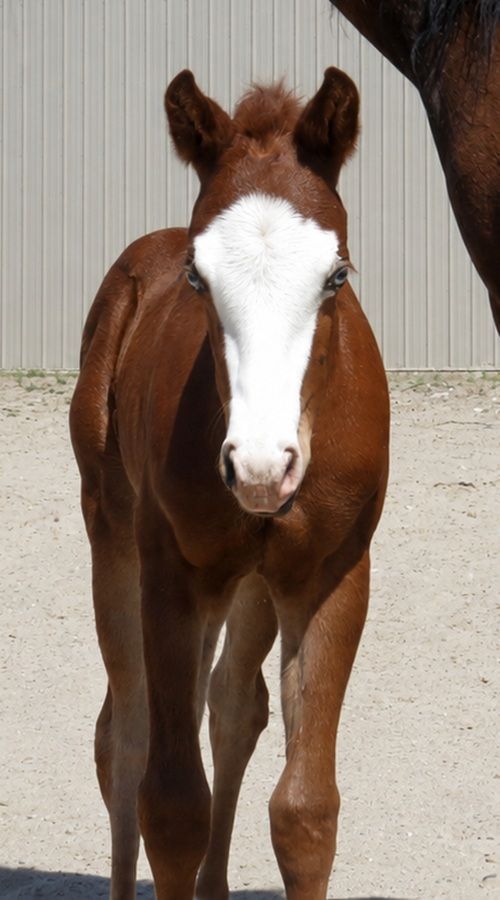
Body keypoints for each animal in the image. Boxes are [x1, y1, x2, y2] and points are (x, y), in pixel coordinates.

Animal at [70, 67, 389, 900]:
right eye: (197, 276)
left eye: (336, 275)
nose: (259, 466)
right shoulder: (173, 574)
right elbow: (173, 805)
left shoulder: (330, 577)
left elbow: (305, 813)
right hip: (114, 536)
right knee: (126, 731)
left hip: (249, 580)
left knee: (229, 706)